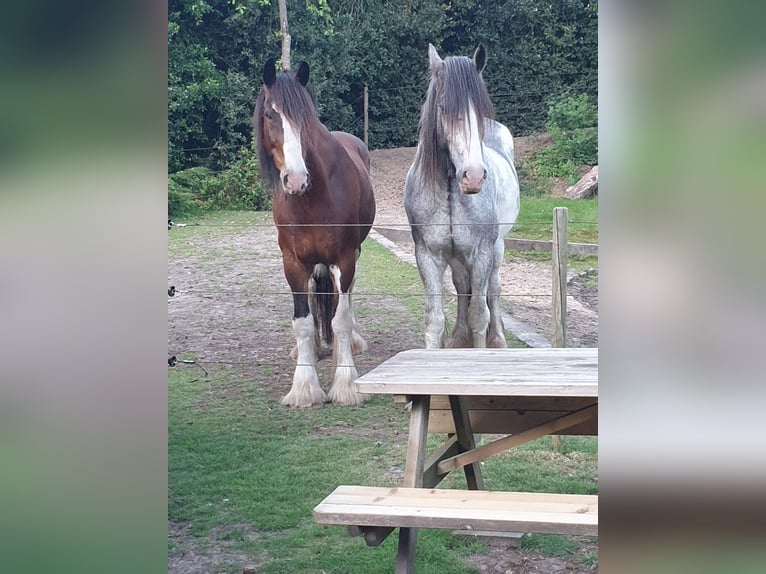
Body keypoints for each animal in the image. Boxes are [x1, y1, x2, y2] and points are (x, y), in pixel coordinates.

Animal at [254, 58, 376, 410]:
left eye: (305, 117)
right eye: (270, 115)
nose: (296, 179)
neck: (311, 198)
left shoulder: (344, 259)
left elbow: (340, 318)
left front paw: (346, 385)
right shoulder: (293, 262)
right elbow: (304, 323)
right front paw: (305, 387)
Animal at [402, 42, 520, 348]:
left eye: (479, 109)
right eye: (443, 107)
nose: (474, 176)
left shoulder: (481, 254)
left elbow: (480, 315)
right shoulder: (429, 256)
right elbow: (434, 320)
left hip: (497, 249)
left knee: (494, 290)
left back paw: (498, 340)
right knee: (461, 286)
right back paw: (459, 337)